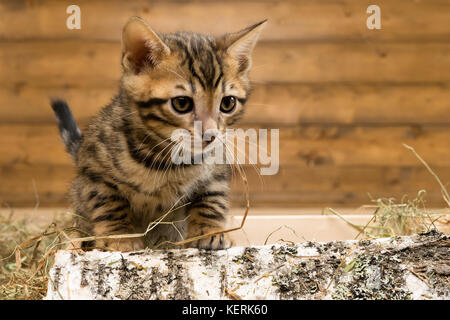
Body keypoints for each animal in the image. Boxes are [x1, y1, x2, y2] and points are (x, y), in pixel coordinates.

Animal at [51, 16, 266, 252]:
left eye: (228, 103)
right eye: (182, 103)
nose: (210, 135)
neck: (169, 158)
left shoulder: (216, 169)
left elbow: (212, 199)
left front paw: (209, 231)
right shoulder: (94, 169)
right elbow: (109, 203)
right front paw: (120, 237)